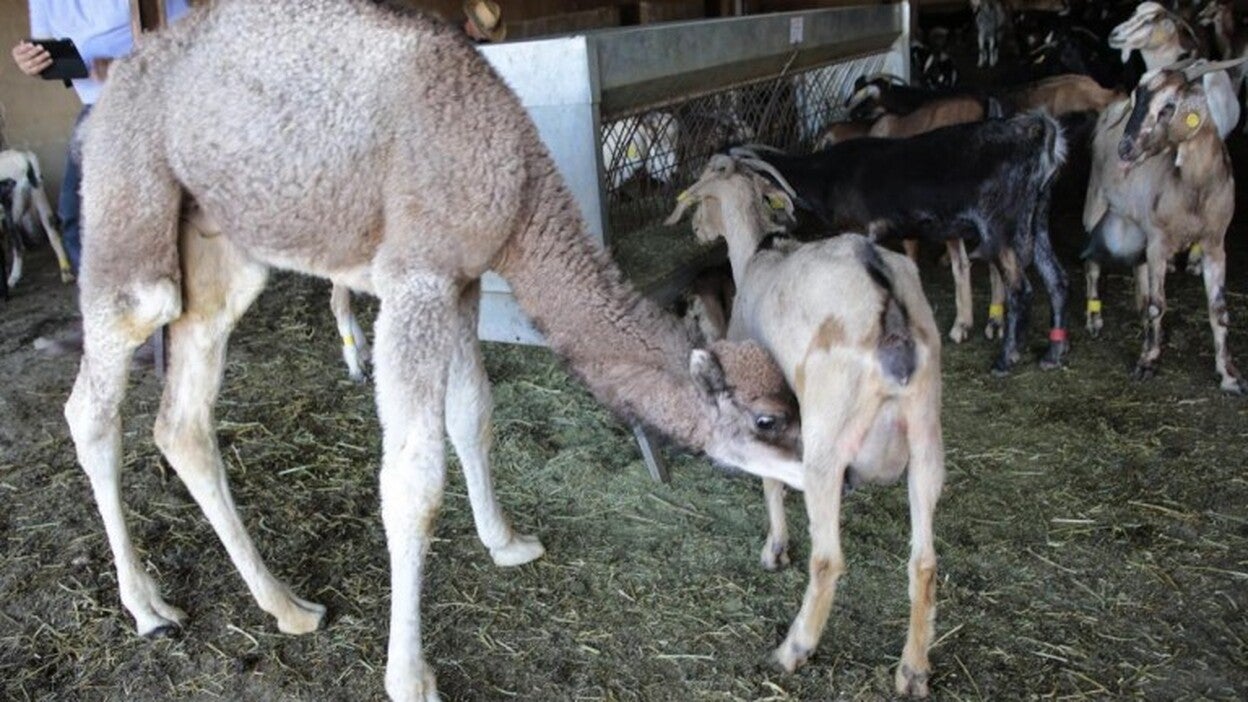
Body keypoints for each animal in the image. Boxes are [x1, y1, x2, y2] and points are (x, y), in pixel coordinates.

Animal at [0, 149, 74, 287]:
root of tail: (25, 160)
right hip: (39, 194)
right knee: (52, 229)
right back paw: (66, 273)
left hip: (16, 205)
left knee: (18, 243)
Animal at [666, 154, 944, 699]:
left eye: (703, 195)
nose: (696, 230)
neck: (756, 256)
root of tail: (889, 306)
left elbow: (770, 482)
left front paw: (774, 550)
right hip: (927, 439)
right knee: (923, 563)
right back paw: (912, 670)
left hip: (827, 441)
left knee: (828, 559)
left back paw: (794, 648)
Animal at [732, 111, 1069, 375]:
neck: (826, 176)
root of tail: (1035, 135)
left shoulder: (862, 230)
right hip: (1037, 219)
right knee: (1057, 279)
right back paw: (1053, 353)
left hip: (1001, 226)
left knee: (1021, 289)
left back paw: (1005, 359)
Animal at [1082, 59, 1246, 393]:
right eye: (1138, 97)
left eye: (1169, 106)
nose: (1125, 148)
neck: (1193, 191)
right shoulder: (1159, 241)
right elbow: (1159, 305)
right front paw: (1147, 362)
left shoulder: (1214, 243)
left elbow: (1219, 310)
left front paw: (1229, 375)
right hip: (1096, 199)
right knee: (1091, 262)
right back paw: (1094, 320)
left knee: (1138, 266)